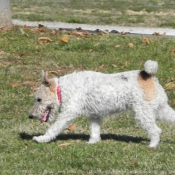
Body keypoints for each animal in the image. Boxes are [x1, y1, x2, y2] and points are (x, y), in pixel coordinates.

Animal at [28, 60, 175, 148]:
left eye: (39, 99)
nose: (30, 116)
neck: (62, 89)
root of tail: (148, 75)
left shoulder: (68, 113)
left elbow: (53, 128)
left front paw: (41, 139)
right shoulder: (94, 116)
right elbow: (94, 131)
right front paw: (92, 142)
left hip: (143, 113)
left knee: (156, 130)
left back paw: (152, 145)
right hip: (160, 109)